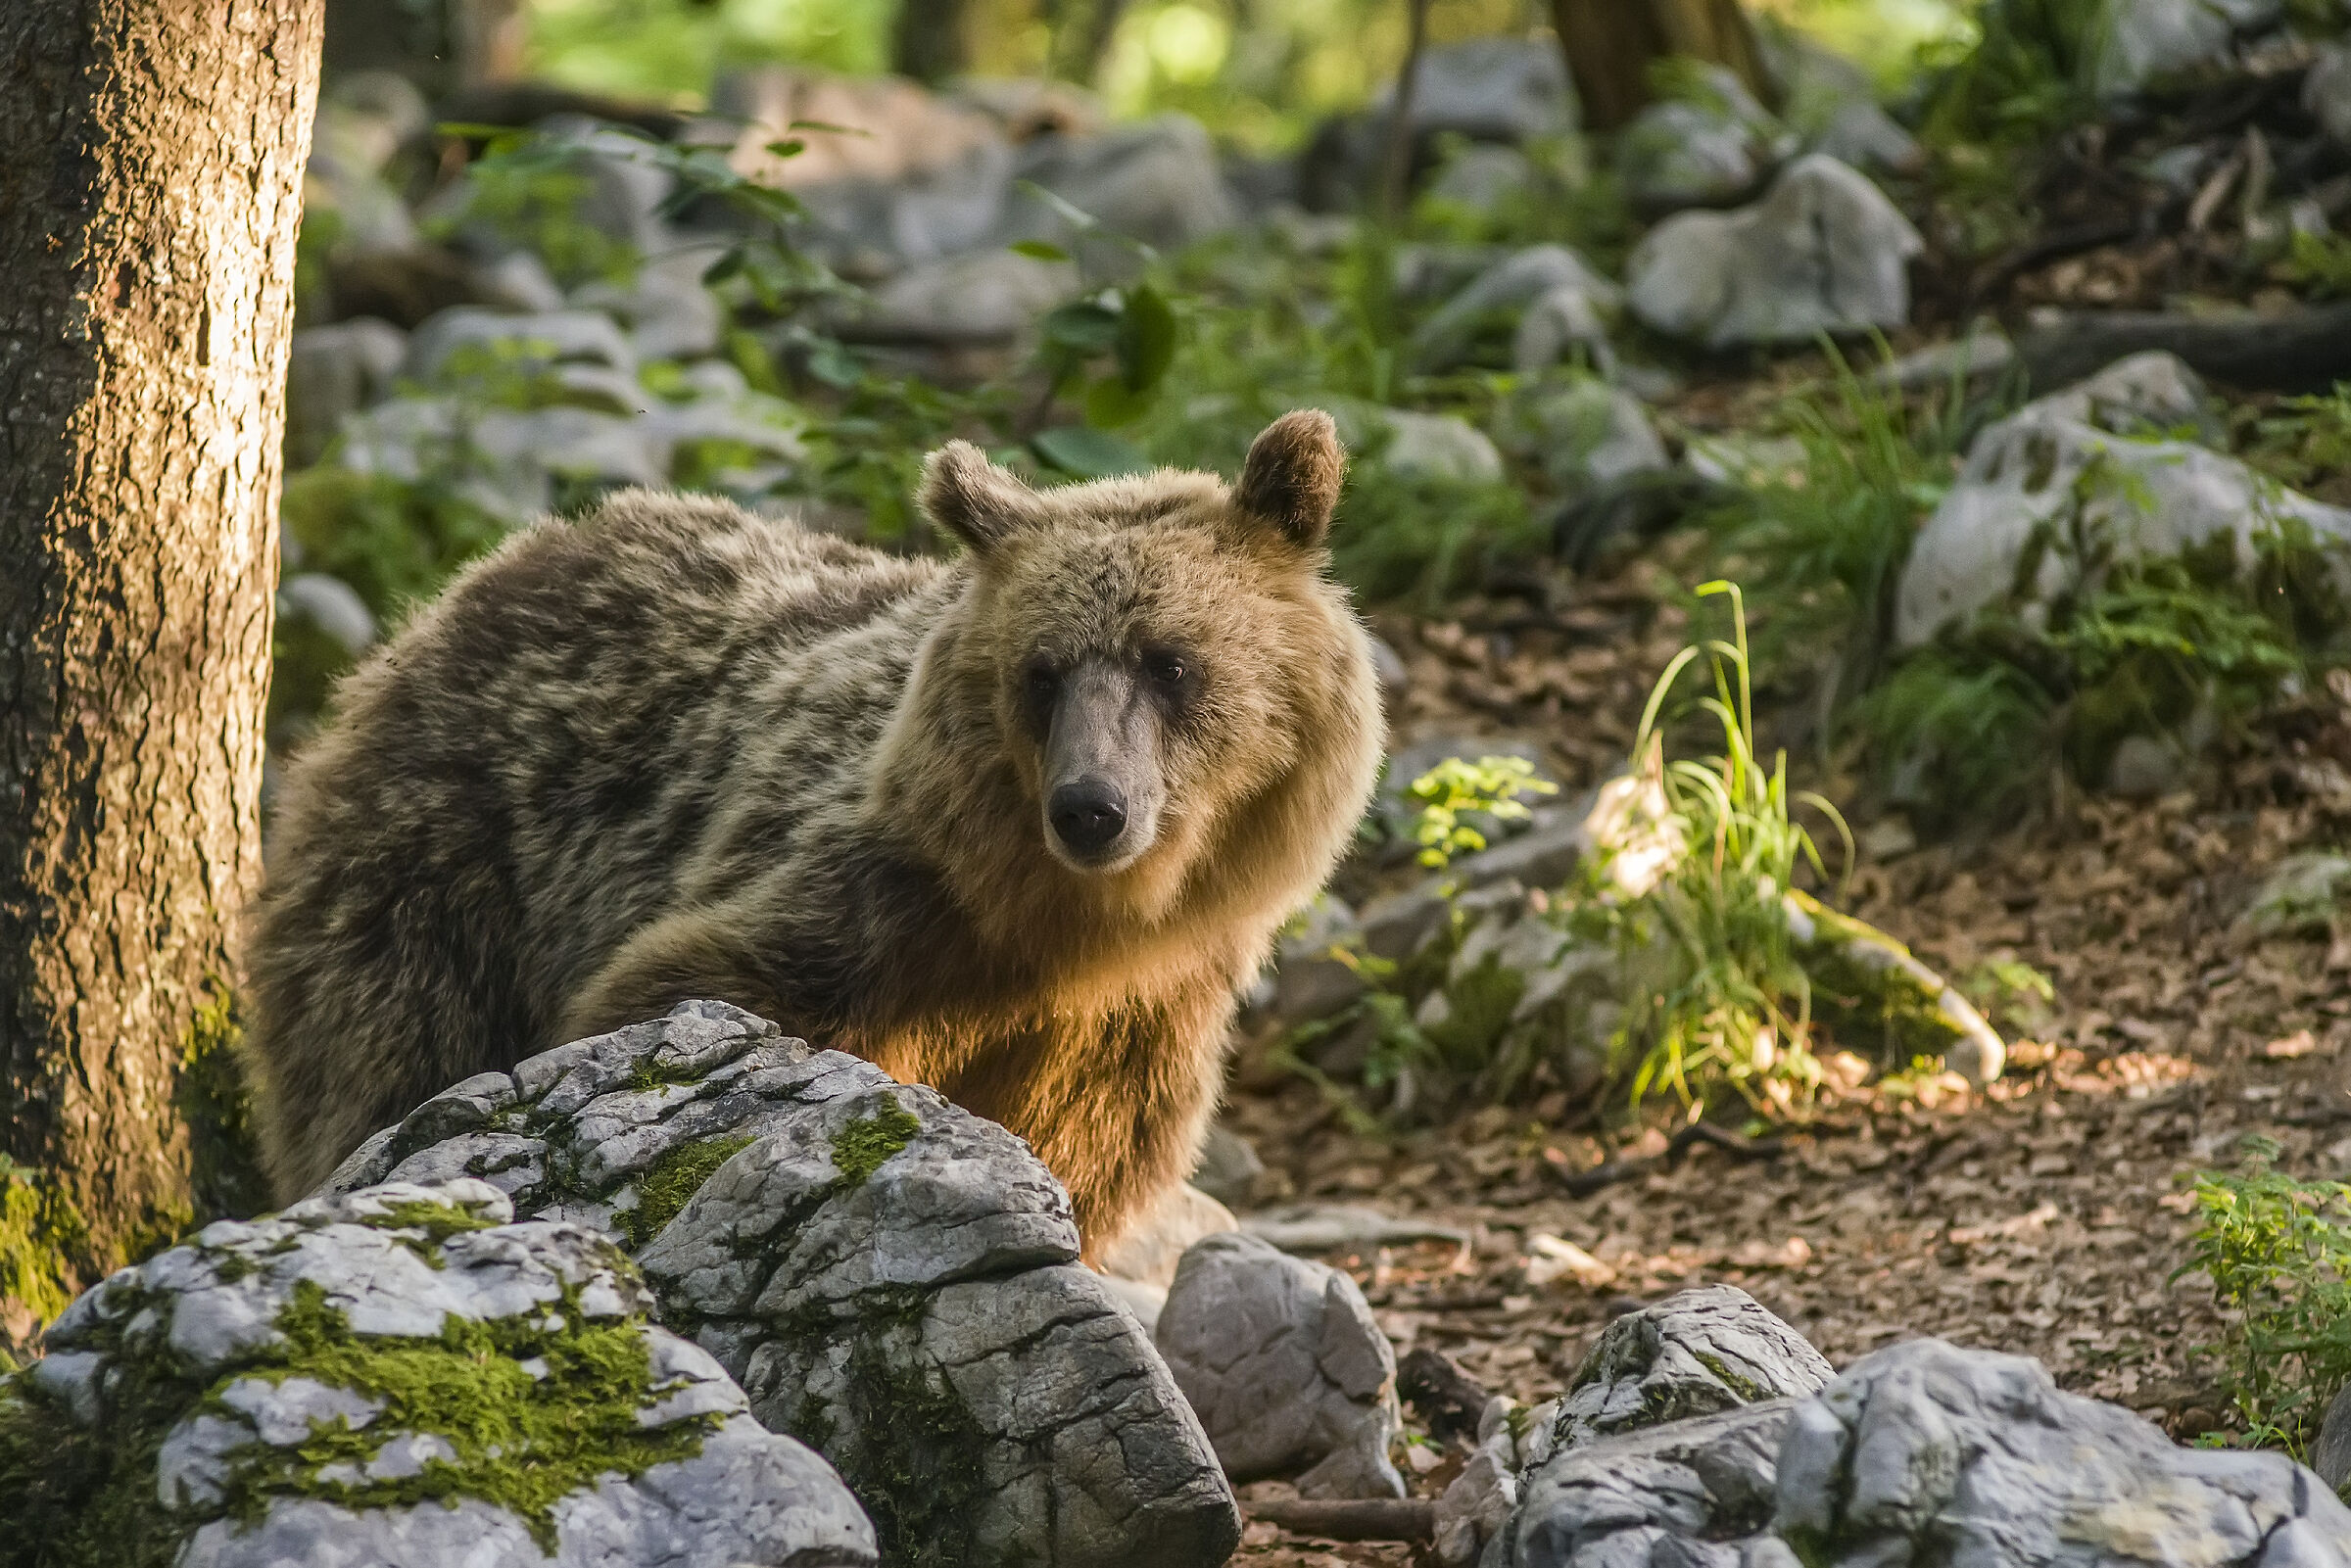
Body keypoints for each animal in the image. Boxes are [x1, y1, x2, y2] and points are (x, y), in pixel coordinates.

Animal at [243, 410, 1384, 1257]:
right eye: (1042, 671)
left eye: (1171, 661)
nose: (1090, 805)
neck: (1066, 930)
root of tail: (464, 590)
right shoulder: (875, 911)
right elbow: (675, 997)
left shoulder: (1133, 1022)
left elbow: (1089, 1154)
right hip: (441, 869)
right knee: (385, 1051)